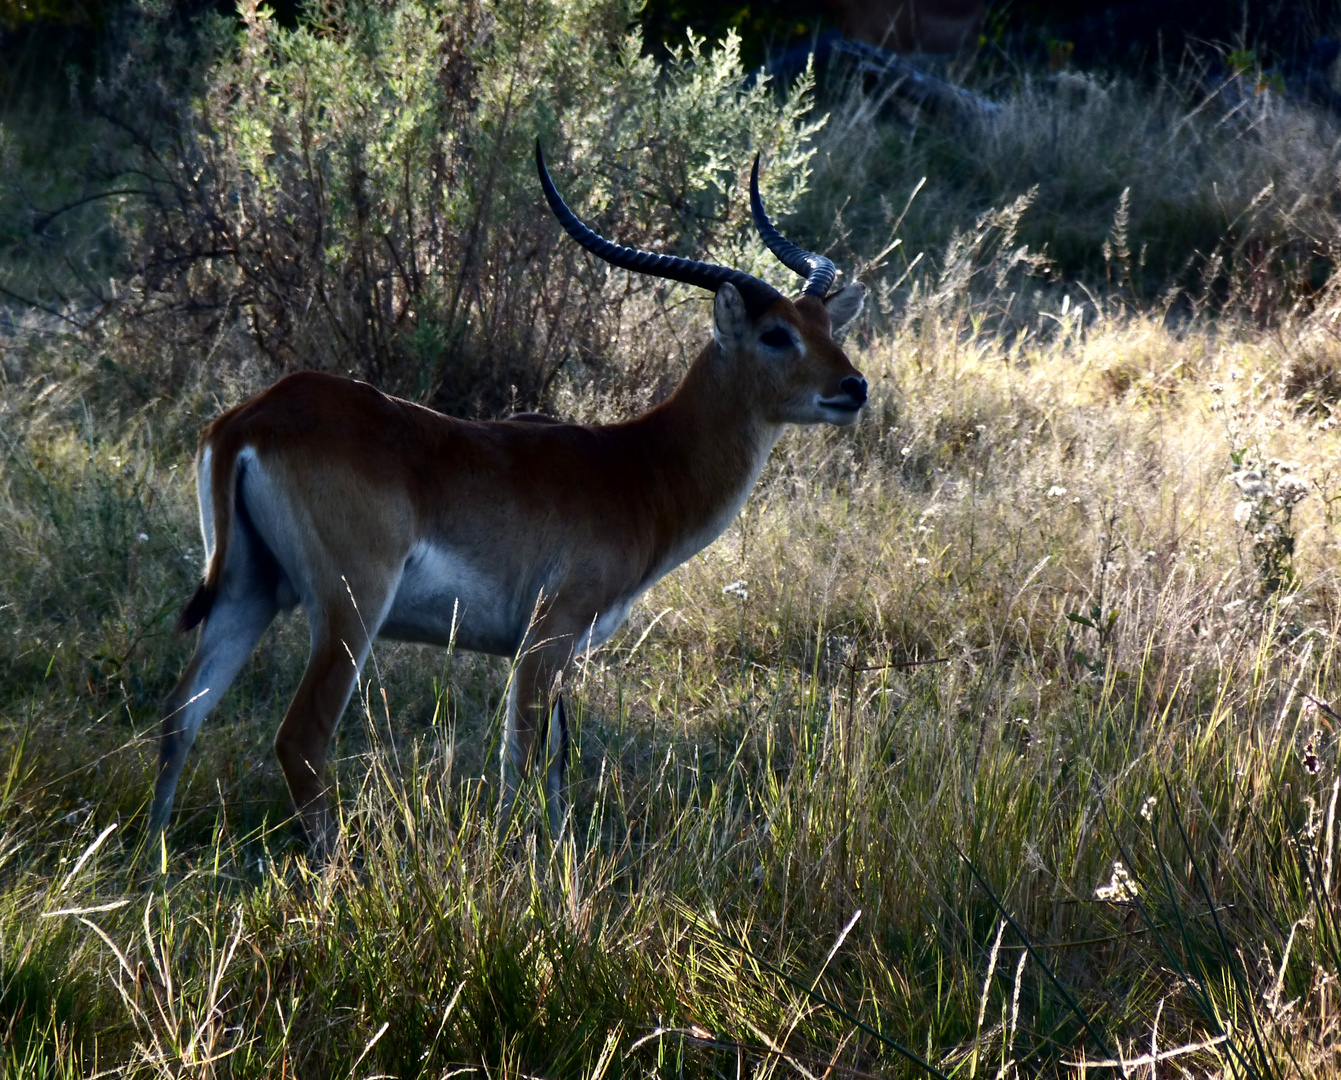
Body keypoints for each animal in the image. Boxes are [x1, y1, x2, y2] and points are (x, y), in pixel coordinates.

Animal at [149, 143, 868, 853]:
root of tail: (255, 416)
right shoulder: (547, 638)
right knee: (299, 740)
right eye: (776, 334)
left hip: (248, 592)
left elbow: (555, 770)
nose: (854, 386)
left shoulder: (556, 656)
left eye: (825, 326)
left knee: (179, 716)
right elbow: (519, 762)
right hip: (350, 610)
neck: (636, 468)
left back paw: (153, 862)